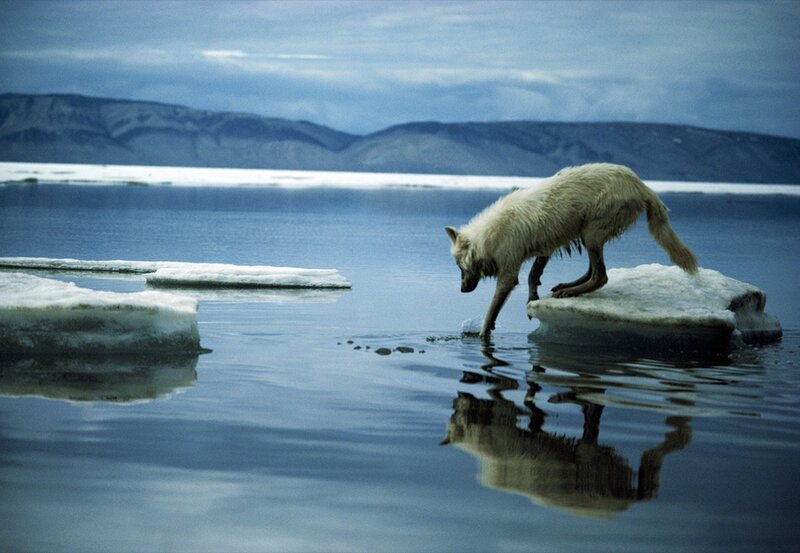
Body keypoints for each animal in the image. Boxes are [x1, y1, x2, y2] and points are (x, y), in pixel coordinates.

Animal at [445, 163, 698, 340]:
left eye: (459, 266)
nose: (461, 290)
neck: (488, 236)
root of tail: (641, 184)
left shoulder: (509, 272)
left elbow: (492, 310)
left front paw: (483, 334)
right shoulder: (544, 249)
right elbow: (533, 276)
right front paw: (532, 298)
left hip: (591, 232)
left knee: (601, 276)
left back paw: (570, 291)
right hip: (587, 235)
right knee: (593, 271)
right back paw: (567, 286)